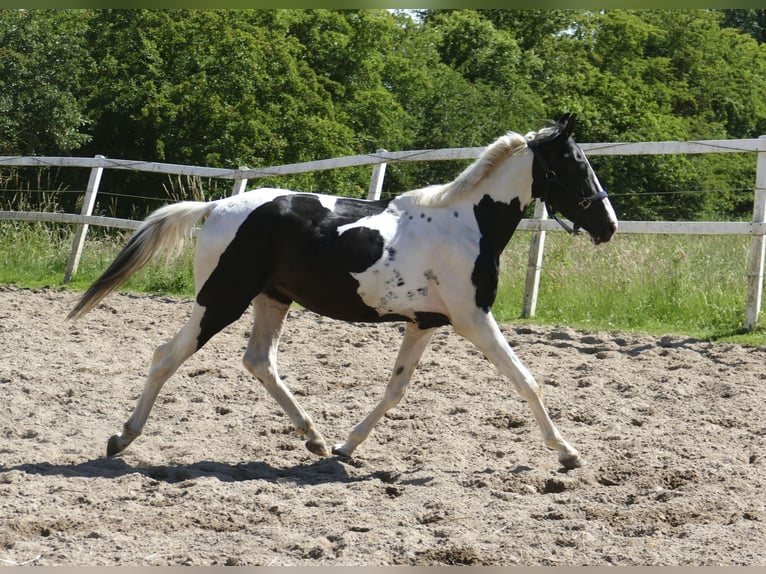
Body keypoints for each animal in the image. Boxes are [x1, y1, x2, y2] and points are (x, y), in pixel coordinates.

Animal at [69, 113, 617, 470]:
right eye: (575, 164)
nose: (608, 225)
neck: (467, 224)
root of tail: (218, 205)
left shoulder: (424, 324)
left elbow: (395, 390)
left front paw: (346, 448)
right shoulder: (473, 319)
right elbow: (527, 380)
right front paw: (568, 454)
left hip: (272, 298)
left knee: (259, 361)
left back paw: (314, 438)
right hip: (221, 300)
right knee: (168, 355)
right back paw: (121, 439)